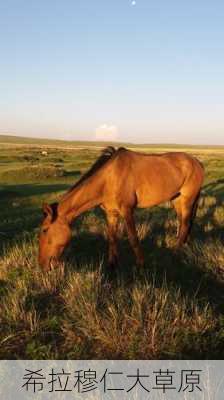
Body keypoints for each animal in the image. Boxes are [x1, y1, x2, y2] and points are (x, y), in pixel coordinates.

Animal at [39, 147, 205, 272]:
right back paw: (183, 244)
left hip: (187, 199)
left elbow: (133, 239)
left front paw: (141, 266)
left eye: (45, 230)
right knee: (183, 222)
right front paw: (112, 264)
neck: (109, 179)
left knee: (185, 223)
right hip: (177, 199)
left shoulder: (127, 211)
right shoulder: (110, 213)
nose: (42, 265)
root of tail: (197, 162)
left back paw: (176, 253)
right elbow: (112, 238)